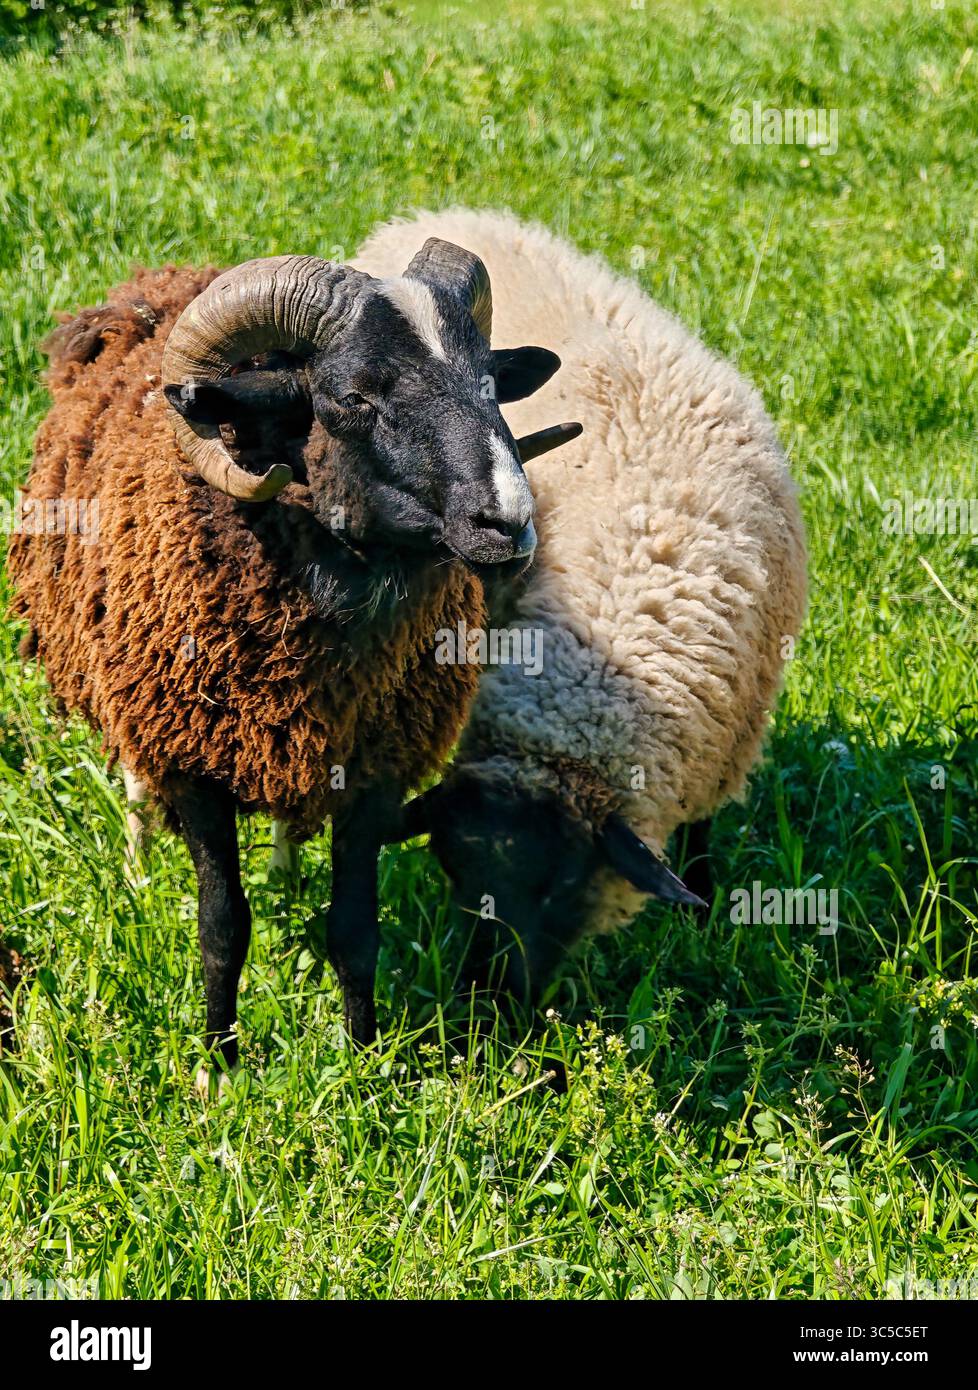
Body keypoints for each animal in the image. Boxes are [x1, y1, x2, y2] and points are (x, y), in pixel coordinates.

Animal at [7, 245, 581, 1060]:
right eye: (353, 397)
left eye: (490, 384)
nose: (509, 523)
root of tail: (159, 281)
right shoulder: (192, 763)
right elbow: (223, 926)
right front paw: (220, 1061)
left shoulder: (377, 767)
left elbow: (355, 931)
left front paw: (363, 1058)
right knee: (136, 783)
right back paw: (139, 864)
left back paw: (281, 872)